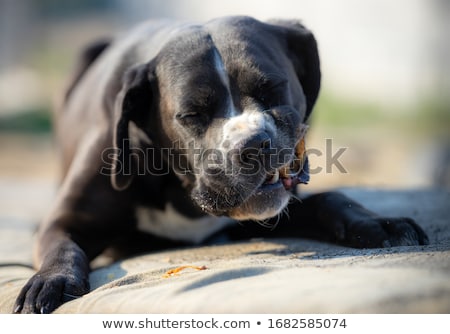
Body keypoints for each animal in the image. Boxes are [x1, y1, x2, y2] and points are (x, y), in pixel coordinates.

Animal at [14, 15, 428, 314]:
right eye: (192, 114)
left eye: (272, 90)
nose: (255, 145)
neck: (180, 188)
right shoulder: (66, 221)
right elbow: (62, 246)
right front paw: (51, 281)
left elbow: (331, 199)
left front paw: (379, 222)